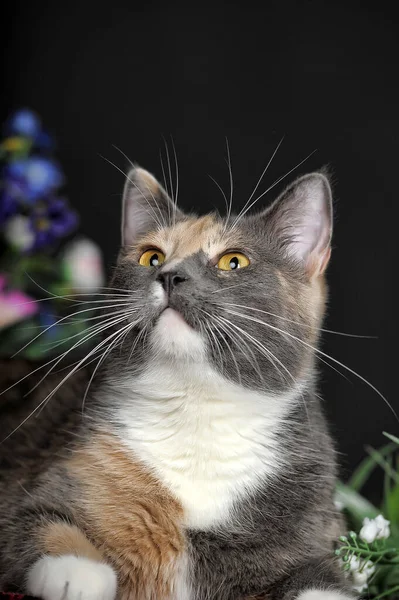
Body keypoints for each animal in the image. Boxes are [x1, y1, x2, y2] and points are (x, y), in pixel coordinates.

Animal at [0, 165, 356, 600]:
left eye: (233, 261)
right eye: (151, 256)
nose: (170, 275)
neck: (196, 408)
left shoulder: (312, 522)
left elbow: (323, 578)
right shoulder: (48, 475)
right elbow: (34, 518)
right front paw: (76, 570)